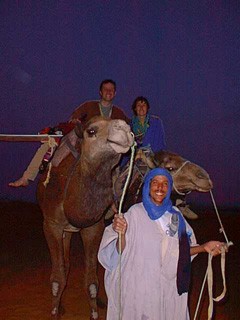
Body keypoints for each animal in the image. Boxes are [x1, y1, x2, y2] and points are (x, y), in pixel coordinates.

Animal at [37, 116, 135, 318]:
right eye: (91, 131)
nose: (123, 127)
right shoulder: (51, 225)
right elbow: (57, 277)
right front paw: (55, 310)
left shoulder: (93, 227)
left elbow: (91, 280)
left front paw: (94, 312)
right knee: (65, 264)